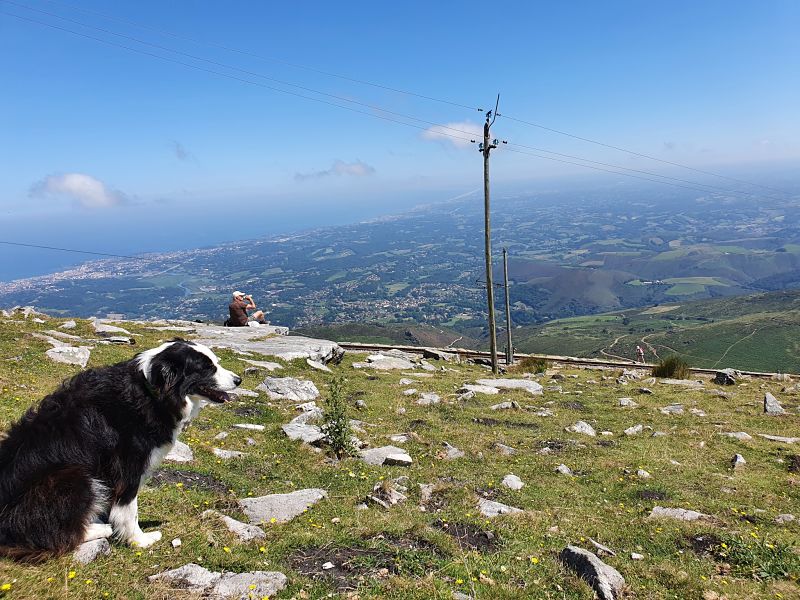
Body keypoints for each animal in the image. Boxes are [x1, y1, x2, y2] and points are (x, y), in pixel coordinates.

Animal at [0, 340, 241, 560]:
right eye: (207, 368)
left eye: (216, 362)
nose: (239, 380)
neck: (152, 391)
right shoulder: (127, 465)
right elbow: (128, 509)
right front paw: (140, 540)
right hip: (73, 476)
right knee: (57, 536)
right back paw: (99, 528)